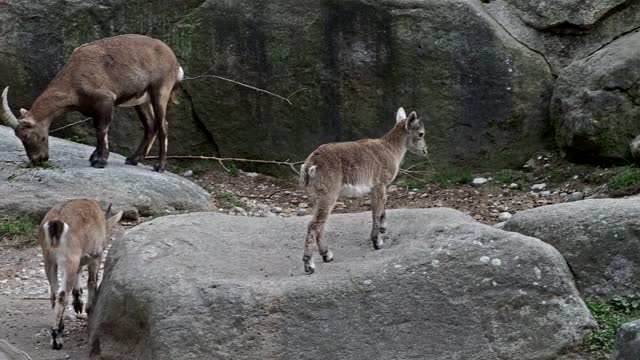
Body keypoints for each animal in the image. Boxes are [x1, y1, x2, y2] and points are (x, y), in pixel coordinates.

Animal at [0, 33, 185, 172]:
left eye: (25, 135)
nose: (37, 160)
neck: (74, 78)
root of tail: (175, 62)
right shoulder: (94, 109)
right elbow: (97, 128)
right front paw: (94, 156)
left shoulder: (105, 100)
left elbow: (101, 129)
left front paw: (100, 161)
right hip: (141, 100)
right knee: (150, 125)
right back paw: (133, 159)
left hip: (160, 90)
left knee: (163, 125)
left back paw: (159, 166)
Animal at [302, 108, 430, 274]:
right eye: (421, 133)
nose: (425, 151)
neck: (390, 150)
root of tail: (310, 166)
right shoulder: (379, 185)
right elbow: (376, 212)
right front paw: (377, 242)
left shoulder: (378, 188)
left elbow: (382, 208)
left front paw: (383, 229)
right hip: (328, 194)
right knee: (314, 224)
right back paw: (309, 265)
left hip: (315, 197)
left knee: (320, 224)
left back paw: (327, 255)